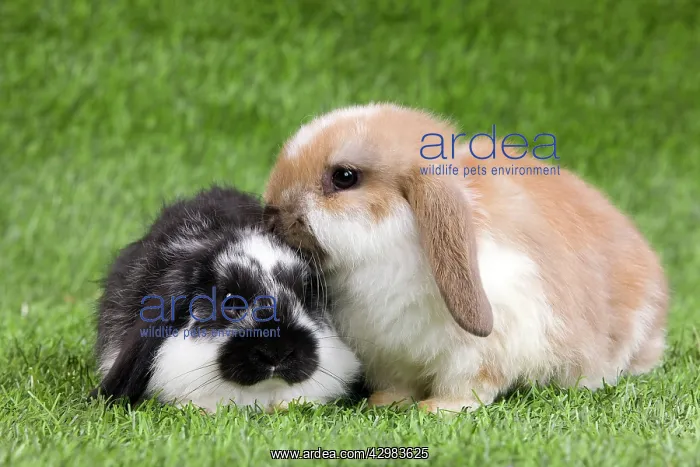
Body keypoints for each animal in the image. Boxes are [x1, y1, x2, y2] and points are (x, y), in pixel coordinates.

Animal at [261, 103, 669, 413]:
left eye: (344, 176)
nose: (271, 213)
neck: (387, 251)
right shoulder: (389, 353)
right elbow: (398, 383)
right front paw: (385, 402)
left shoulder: (484, 347)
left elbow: (469, 384)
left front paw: (438, 409)